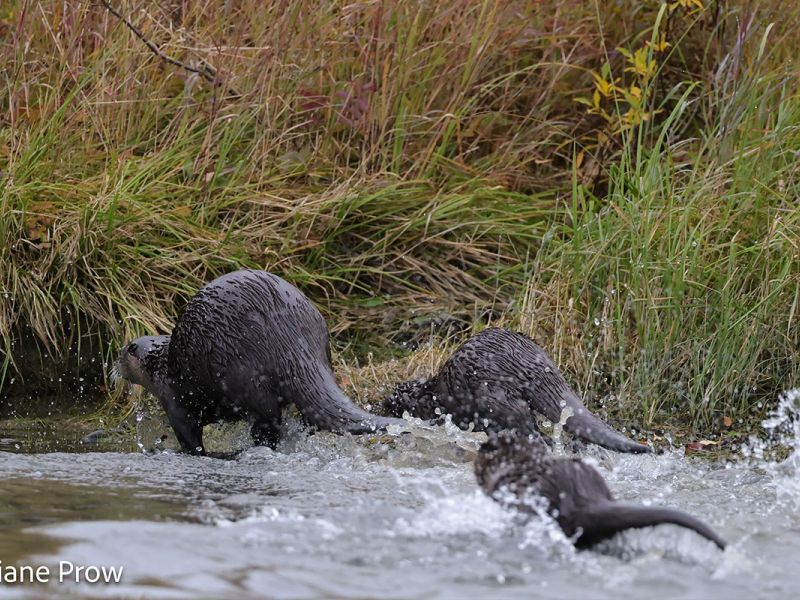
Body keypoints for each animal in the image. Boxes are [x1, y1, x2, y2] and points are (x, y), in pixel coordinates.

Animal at [111, 270, 406, 452]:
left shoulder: (174, 401)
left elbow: (190, 437)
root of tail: (288, 337)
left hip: (242, 375)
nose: (112, 367)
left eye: (122, 352)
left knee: (268, 421)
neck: (162, 367)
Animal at [384, 330, 652, 452]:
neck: (432, 394)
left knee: (527, 427)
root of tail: (530, 368)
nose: (385, 402)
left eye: (394, 399)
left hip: (495, 396)